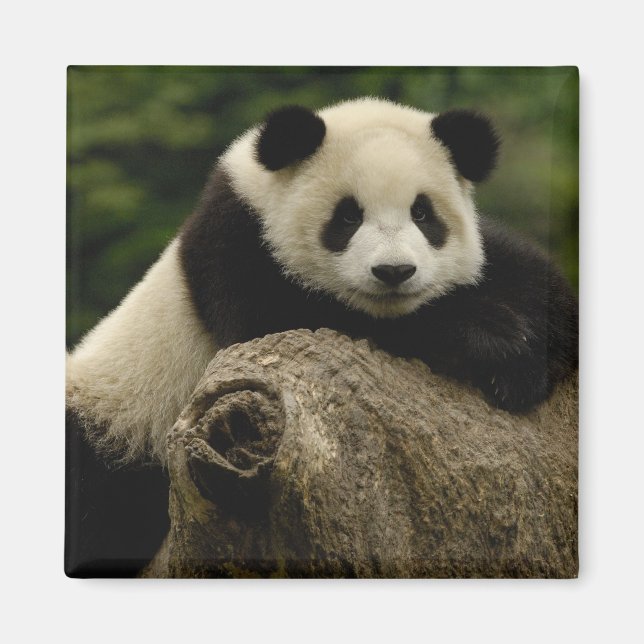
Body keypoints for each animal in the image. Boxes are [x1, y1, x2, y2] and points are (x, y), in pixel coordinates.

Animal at [65, 97, 578, 576]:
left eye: (423, 214)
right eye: (348, 217)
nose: (394, 271)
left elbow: (529, 278)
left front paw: (525, 355)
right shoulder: (237, 249)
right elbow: (292, 321)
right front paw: (493, 345)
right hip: (116, 419)